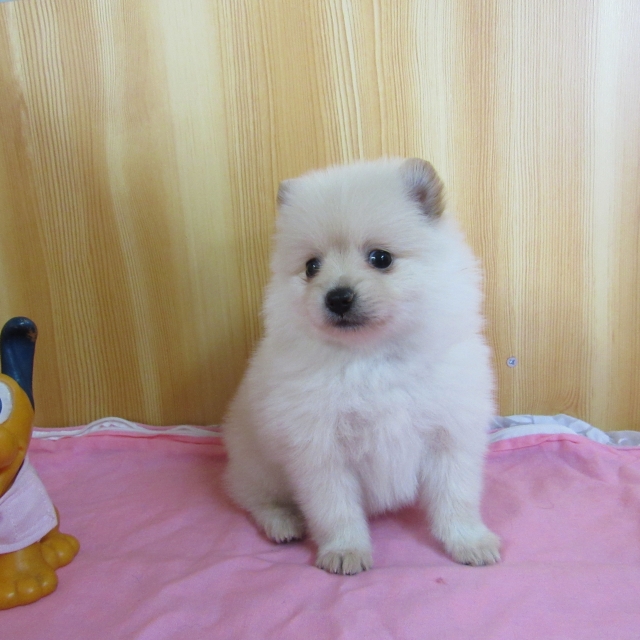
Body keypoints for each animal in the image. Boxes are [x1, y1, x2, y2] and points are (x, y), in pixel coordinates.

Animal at [222, 158, 500, 574]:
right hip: (258, 464)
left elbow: (457, 497)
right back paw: (282, 522)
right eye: (312, 266)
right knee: (254, 497)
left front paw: (469, 541)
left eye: (380, 258)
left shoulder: (450, 434)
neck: (372, 358)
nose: (337, 297)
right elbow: (335, 508)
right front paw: (345, 550)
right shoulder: (320, 448)